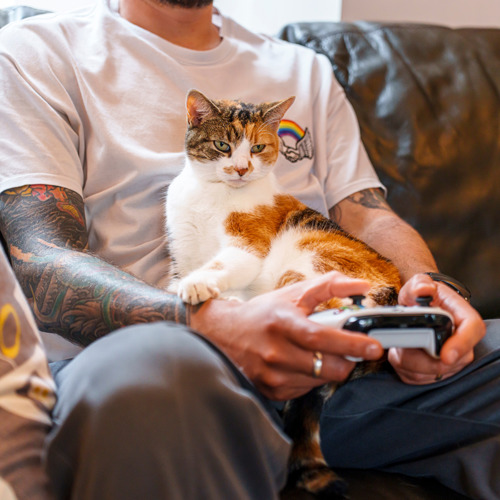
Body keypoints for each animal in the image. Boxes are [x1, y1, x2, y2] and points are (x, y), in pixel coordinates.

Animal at [166, 89, 400, 496]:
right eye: (223, 145)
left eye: (258, 147)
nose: (241, 169)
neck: (211, 194)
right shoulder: (181, 251)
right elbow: (176, 276)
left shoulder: (247, 245)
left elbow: (223, 263)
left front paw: (199, 285)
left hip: (308, 257)